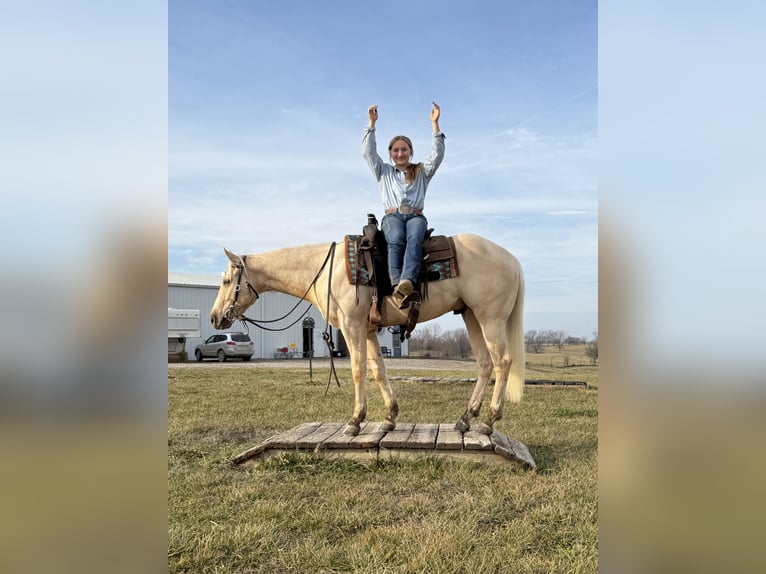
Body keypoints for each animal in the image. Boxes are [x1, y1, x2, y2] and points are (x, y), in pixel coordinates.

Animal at [207, 233, 524, 436]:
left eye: (227, 281)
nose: (214, 317)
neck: (327, 271)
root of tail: (512, 260)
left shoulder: (352, 326)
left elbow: (358, 371)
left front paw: (355, 421)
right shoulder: (370, 330)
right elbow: (378, 372)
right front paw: (389, 418)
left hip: (490, 318)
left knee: (503, 362)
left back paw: (489, 422)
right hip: (471, 316)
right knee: (485, 364)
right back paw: (465, 418)